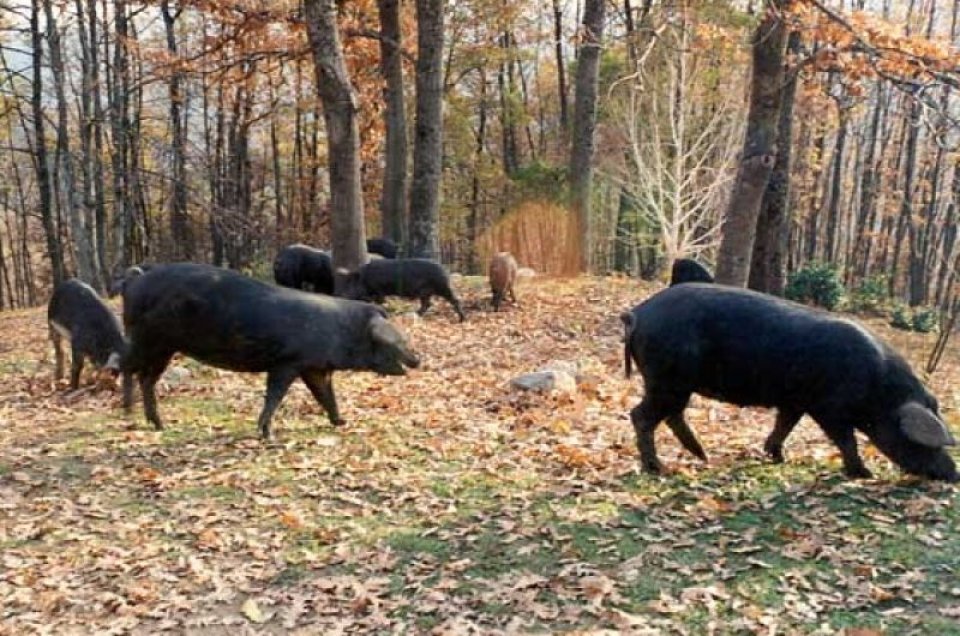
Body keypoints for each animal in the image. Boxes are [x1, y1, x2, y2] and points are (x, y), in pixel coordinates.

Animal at [121, 263, 420, 439]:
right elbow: (275, 395)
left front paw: (342, 422)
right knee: (128, 368)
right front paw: (268, 434)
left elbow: (325, 395)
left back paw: (157, 424)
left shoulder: (314, 367)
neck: (342, 332)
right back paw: (129, 413)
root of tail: (133, 283)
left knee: (146, 378)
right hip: (148, 340)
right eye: (399, 340)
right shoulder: (287, 363)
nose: (418, 358)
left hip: (162, 348)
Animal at [621, 283, 957, 481]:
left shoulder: (795, 402)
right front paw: (864, 474)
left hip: (673, 384)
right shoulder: (829, 409)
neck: (880, 392)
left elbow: (784, 425)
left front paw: (779, 458)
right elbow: (845, 440)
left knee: (671, 416)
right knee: (641, 416)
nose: (953, 475)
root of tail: (637, 312)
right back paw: (658, 469)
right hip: (667, 379)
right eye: (918, 441)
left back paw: (701, 456)